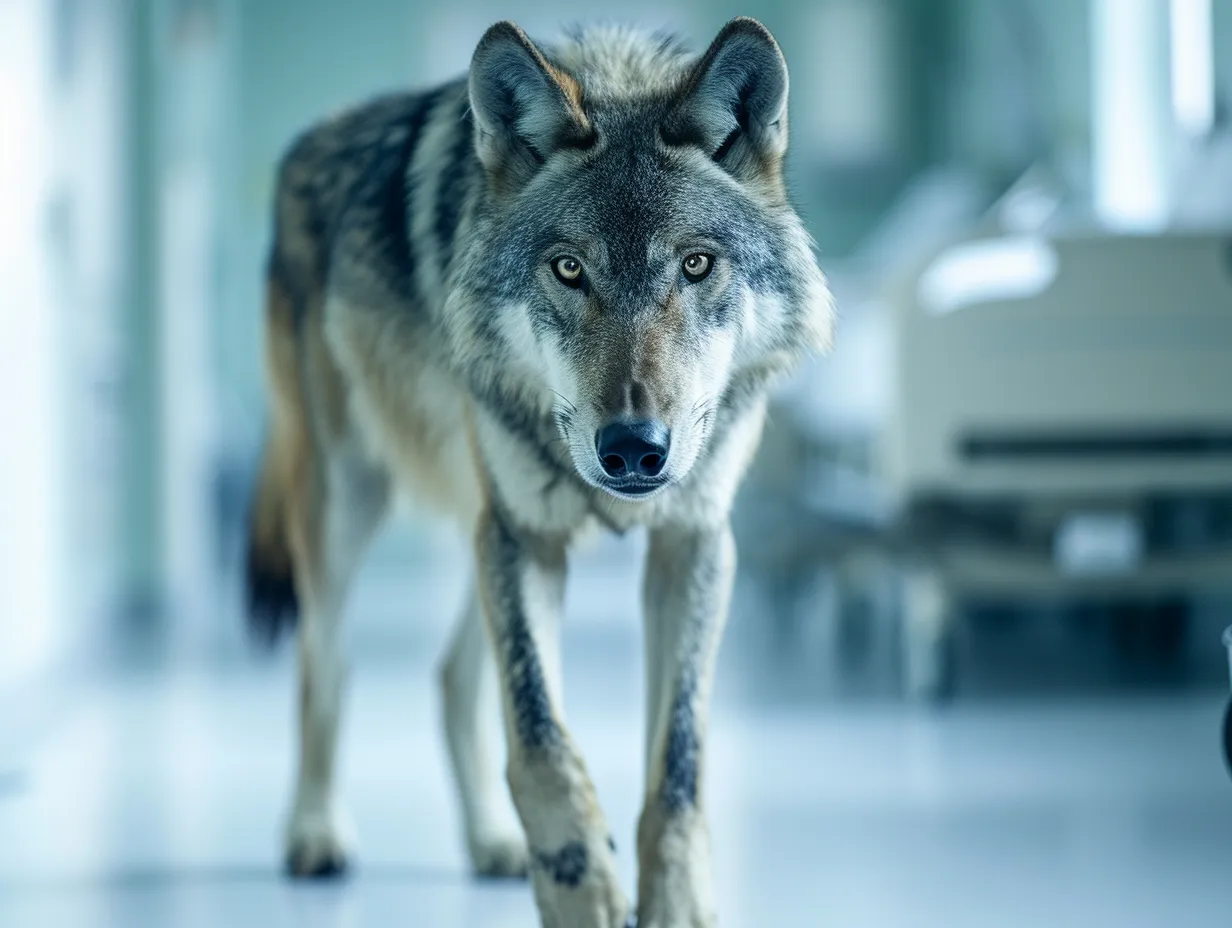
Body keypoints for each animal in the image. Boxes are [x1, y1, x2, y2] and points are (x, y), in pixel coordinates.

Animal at [245, 15, 831, 927]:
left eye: (696, 265)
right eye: (569, 269)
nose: (633, 447)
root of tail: (313, 134)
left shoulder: (691, 544)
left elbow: (679, 762)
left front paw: (671, 903)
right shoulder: (525, 538)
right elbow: (544, 741)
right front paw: (581, 890)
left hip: (481, 525)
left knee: (452, 676)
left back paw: (492, 841)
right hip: (350, 503)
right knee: (324, 666)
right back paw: (315, 832)